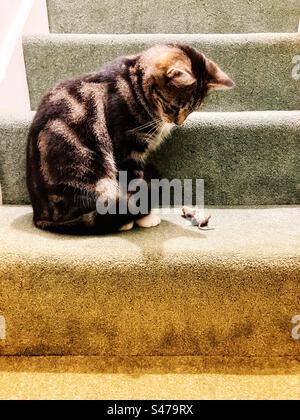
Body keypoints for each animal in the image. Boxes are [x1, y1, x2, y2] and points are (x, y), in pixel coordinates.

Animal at [26, 44, 234, 235]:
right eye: (173, 107)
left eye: (191, 109)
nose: (178, 123)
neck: (135, 84)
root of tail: (40, 216)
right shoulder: (127, 149)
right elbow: (136, 185)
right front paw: (144, 218)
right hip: (91, 168)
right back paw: (121, 221)